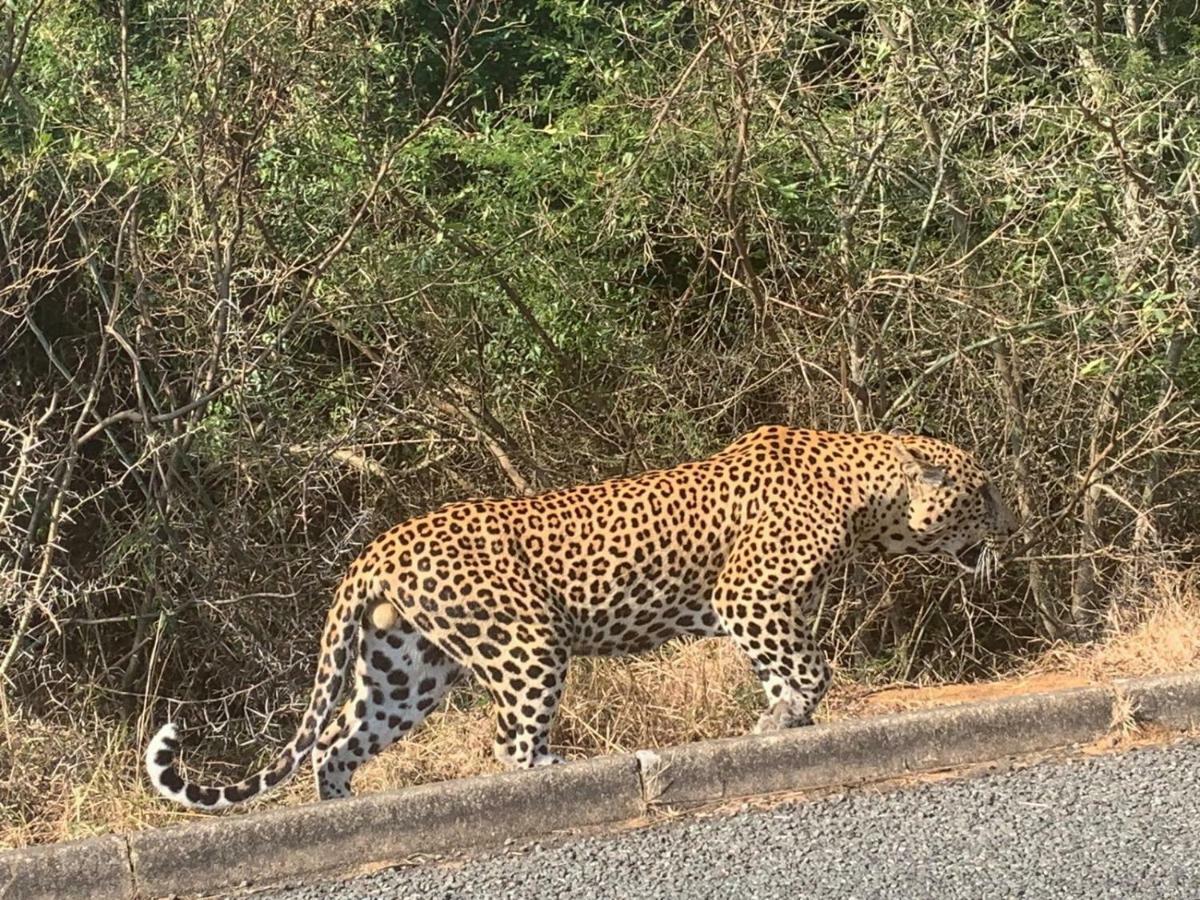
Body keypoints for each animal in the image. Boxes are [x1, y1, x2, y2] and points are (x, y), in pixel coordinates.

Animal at [145, 422, 1017, 811]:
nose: (1014, 524)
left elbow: (789, 669)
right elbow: (810, 664)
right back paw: (554, 773)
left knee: (336, 743)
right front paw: (790, 718)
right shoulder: (751, 597)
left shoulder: (761, 609)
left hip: (407, 672)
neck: (866, 490)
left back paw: (345, 808)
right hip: (527, 643)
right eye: (983, 492)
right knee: (511, 743)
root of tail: (378, 546)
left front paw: (782, 720)